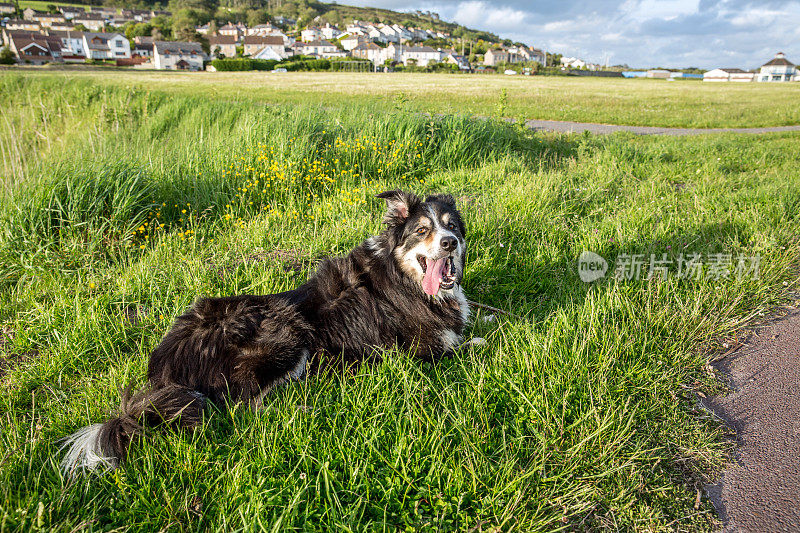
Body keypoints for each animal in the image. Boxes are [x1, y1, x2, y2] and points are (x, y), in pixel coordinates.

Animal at [64, 190, 476, 474]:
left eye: (452, 226)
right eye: (422, 230)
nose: (450, 243)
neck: (404, 277)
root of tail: (165, 367)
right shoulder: (417, 351)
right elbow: (469, 343)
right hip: (284, 329)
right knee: (248, 406)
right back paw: (306, 406)